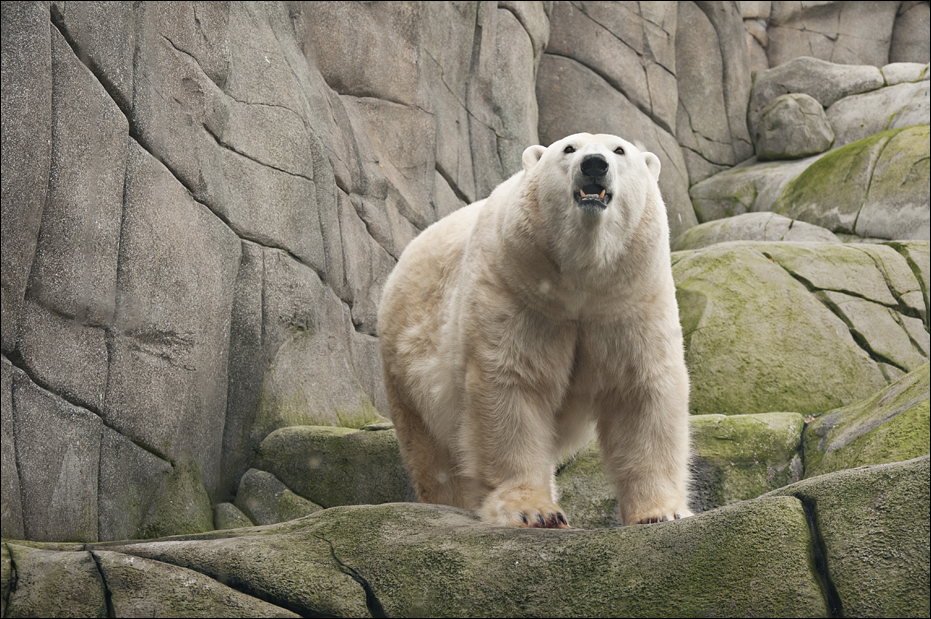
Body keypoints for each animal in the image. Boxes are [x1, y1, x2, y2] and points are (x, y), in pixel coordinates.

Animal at [377, 133, 692, 528]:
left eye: (620, 150)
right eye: (569, 148)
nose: (594, 164)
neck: (582, 283)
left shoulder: (630, 302)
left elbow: (641, 390)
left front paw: (662, 513)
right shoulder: (516, 290)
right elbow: (514, 385)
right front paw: (534, 512)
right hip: (407, 365)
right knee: (432, 452)